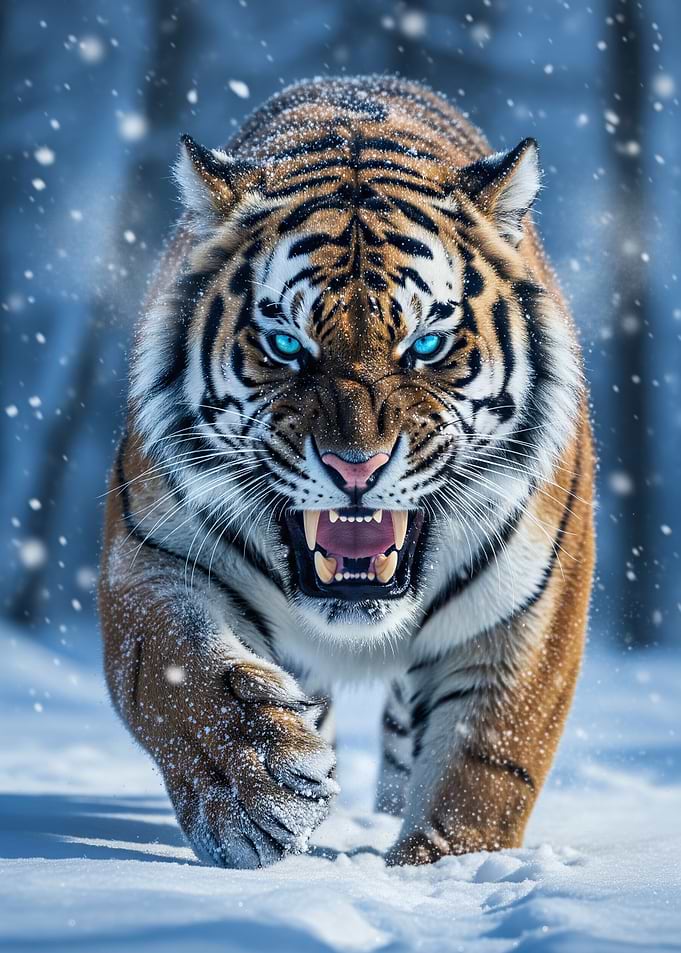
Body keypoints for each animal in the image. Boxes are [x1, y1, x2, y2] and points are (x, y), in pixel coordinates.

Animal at [99, 75, 595, 869]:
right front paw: (258, 790)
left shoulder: (527, 612)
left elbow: (485, 764)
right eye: (284, 344)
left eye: (426, 345)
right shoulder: (151, 552)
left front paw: (440, 867)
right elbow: (177, 673)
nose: (353, 465)